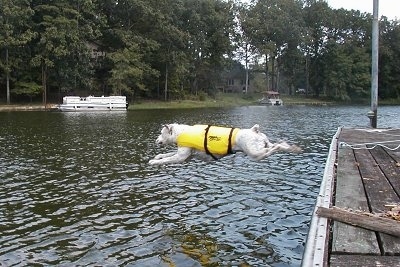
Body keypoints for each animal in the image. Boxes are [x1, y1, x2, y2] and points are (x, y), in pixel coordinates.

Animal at [148, 124, 302, 165]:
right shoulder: (186, 156)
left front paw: (153, 162)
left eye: (161, 133)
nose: (156, 140)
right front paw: (157, 157)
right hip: (262, 145)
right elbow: (166, 154)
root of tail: (254, 130)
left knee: (274, 149)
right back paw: (292, 148)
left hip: (255, 154)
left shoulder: (181, 157)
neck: (180, 132)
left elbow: (167, 159)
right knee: (276, 146)